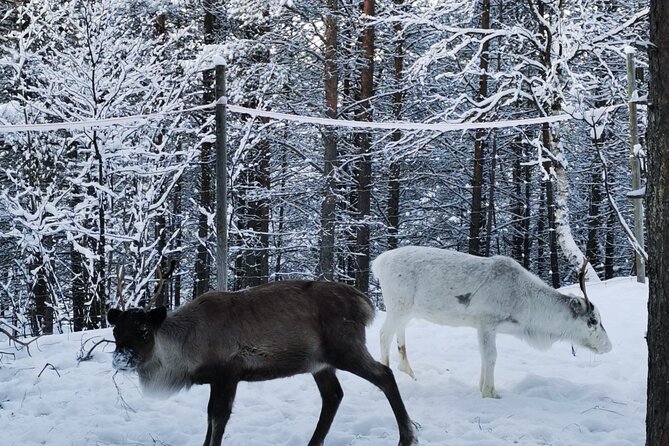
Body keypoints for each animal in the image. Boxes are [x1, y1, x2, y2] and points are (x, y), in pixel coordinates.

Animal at [107, 280, 417, 446]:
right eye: (116, 331)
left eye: (144, 331)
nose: (121, 359)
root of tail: (366, 303)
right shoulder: (217, 380)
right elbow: (208, 416)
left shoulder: (228, 374)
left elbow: (217, 418)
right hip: (319, 363)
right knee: (333, 395)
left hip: (345, 349)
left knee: (385, 375)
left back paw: (407, 437)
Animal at [372, 246, 612, 398]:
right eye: (593, 320)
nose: (608, 346)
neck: (527, 308)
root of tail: (377, 263)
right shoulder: (487, 321)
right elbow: (491, 356)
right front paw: (490, 392)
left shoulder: (484, 326)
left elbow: (483, 356)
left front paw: (481, 386)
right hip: (397, 305)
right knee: (383, 334)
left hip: (408, 310)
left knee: (399, 334)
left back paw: (408, 372)